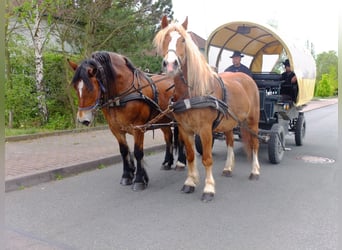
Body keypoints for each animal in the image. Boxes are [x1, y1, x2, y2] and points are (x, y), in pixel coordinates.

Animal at [68, 51, 186, 190]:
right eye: (75, 87)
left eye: (91, 88)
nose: (82, 119)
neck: (121, 95)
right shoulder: (115, 129)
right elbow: (124, 151)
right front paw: (127, 176)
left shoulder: (138, 128)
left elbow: (138, 152)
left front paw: (139, 180)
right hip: (163, 119)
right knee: (168, 138)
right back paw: (167, 162)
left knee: (182, 139)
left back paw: (181, 163)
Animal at [154, 16, 260, 202]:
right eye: (165, 38)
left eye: (183, 40)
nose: (171, 65)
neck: (192, 93)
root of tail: (247, 77)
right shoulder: (185, 129)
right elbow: (190, 156)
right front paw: (190, 182)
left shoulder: (205, 130)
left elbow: (207, 158)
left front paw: (209, 188)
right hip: (229, 123)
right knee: (230, 142)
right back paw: (228, 168)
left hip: (253, 121)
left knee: (255, 144)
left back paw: (255, 171)